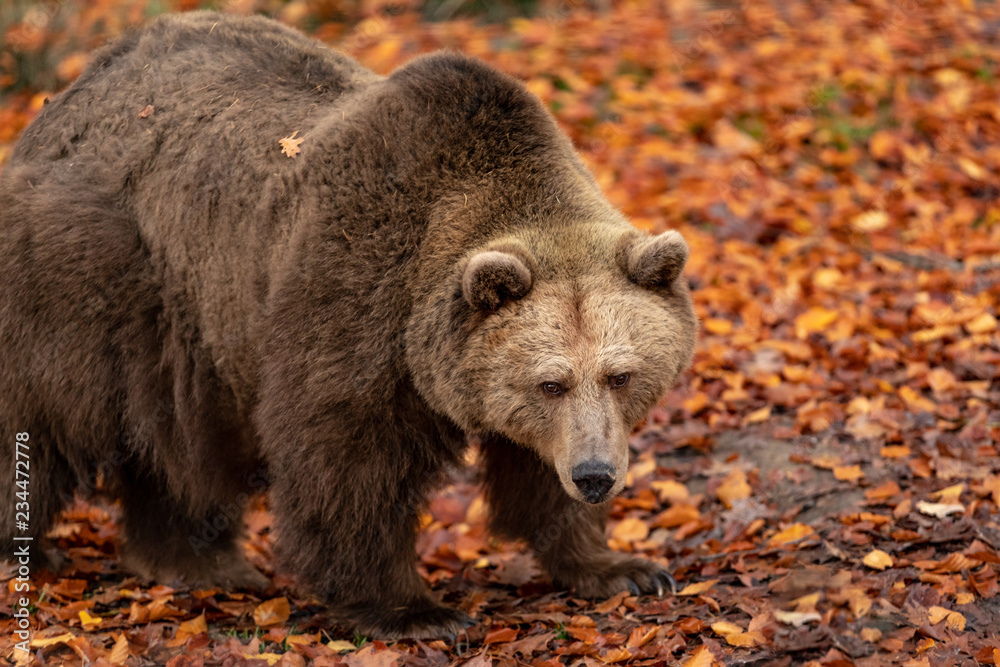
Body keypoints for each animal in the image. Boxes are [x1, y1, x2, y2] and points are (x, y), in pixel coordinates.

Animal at [0, 12, 696, 638]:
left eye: (620, 374)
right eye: (550, 382)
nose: (596, 476)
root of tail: (69, 94)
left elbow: (535, 473)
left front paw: (623, 568)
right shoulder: (354, 299)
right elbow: (346, 458)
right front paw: (415, 611)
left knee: (179, 441)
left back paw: (196, 560)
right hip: (96, 272)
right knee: (43, 416)